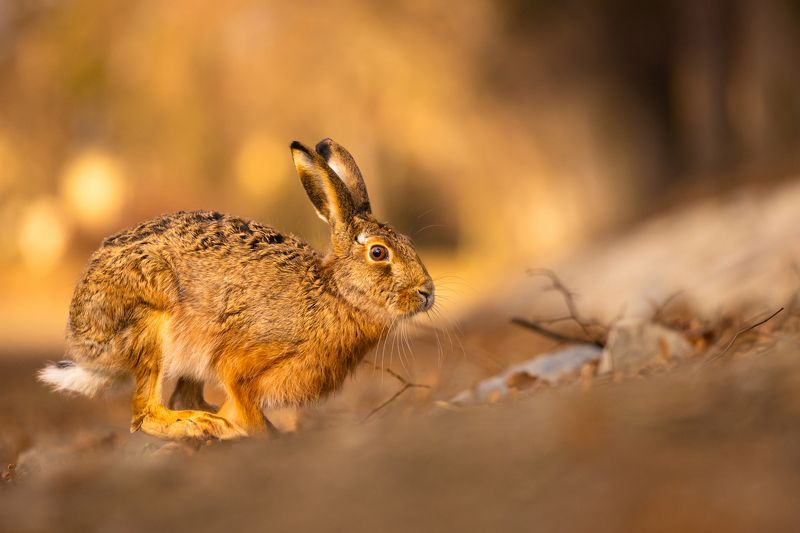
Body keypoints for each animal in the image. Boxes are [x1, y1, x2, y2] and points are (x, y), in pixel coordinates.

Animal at [38, 139, 435, 440]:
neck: (332, 292)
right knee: (146, 413)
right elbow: (247, 411)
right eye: (378, 252)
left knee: (182, 397)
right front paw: (260, 435)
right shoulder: (239, 363)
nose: (427, 292)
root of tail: (82, 338)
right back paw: (200, 425)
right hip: (151, 326)